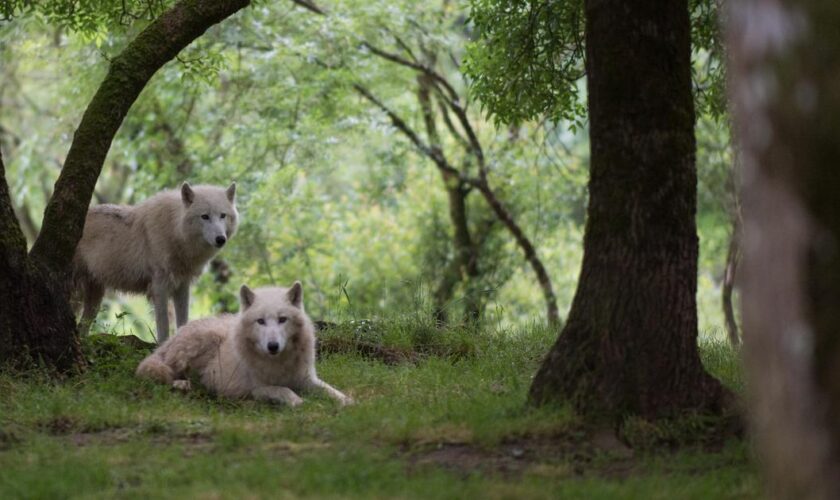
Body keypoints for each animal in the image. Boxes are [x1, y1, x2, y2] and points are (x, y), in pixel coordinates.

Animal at [136, 282, 352, 406]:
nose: (273, 346)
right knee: (167, 373)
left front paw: (348, 402)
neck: (278, 363)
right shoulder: (256, 389)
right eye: (261, 321)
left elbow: (331, 390)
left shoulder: (307, 379)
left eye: (282, 319)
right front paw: (298, 401)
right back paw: (183, 384)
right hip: (202, 342)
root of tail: (168, 341)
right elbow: (284, 390)